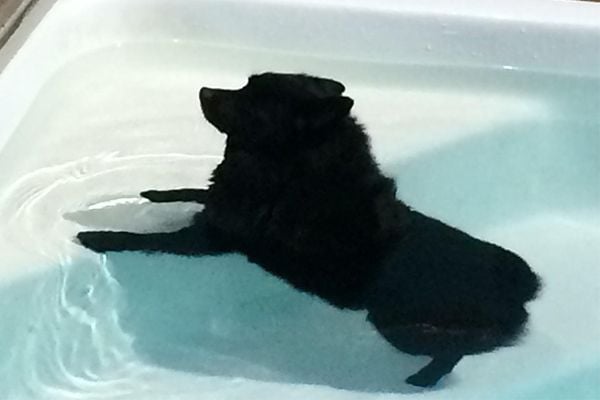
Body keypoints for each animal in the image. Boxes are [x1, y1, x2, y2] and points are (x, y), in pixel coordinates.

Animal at [77, 72, 540, 388]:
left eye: (253, 106)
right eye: (244, 86)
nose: (204, 90)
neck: (291, 169)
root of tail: (520, 293)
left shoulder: (209, 240)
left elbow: (145, 239)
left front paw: (98, 238)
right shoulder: (218, 204)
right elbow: (196, 191)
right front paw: (156, 192)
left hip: (399, 328)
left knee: (452, 354)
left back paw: (422, 380)